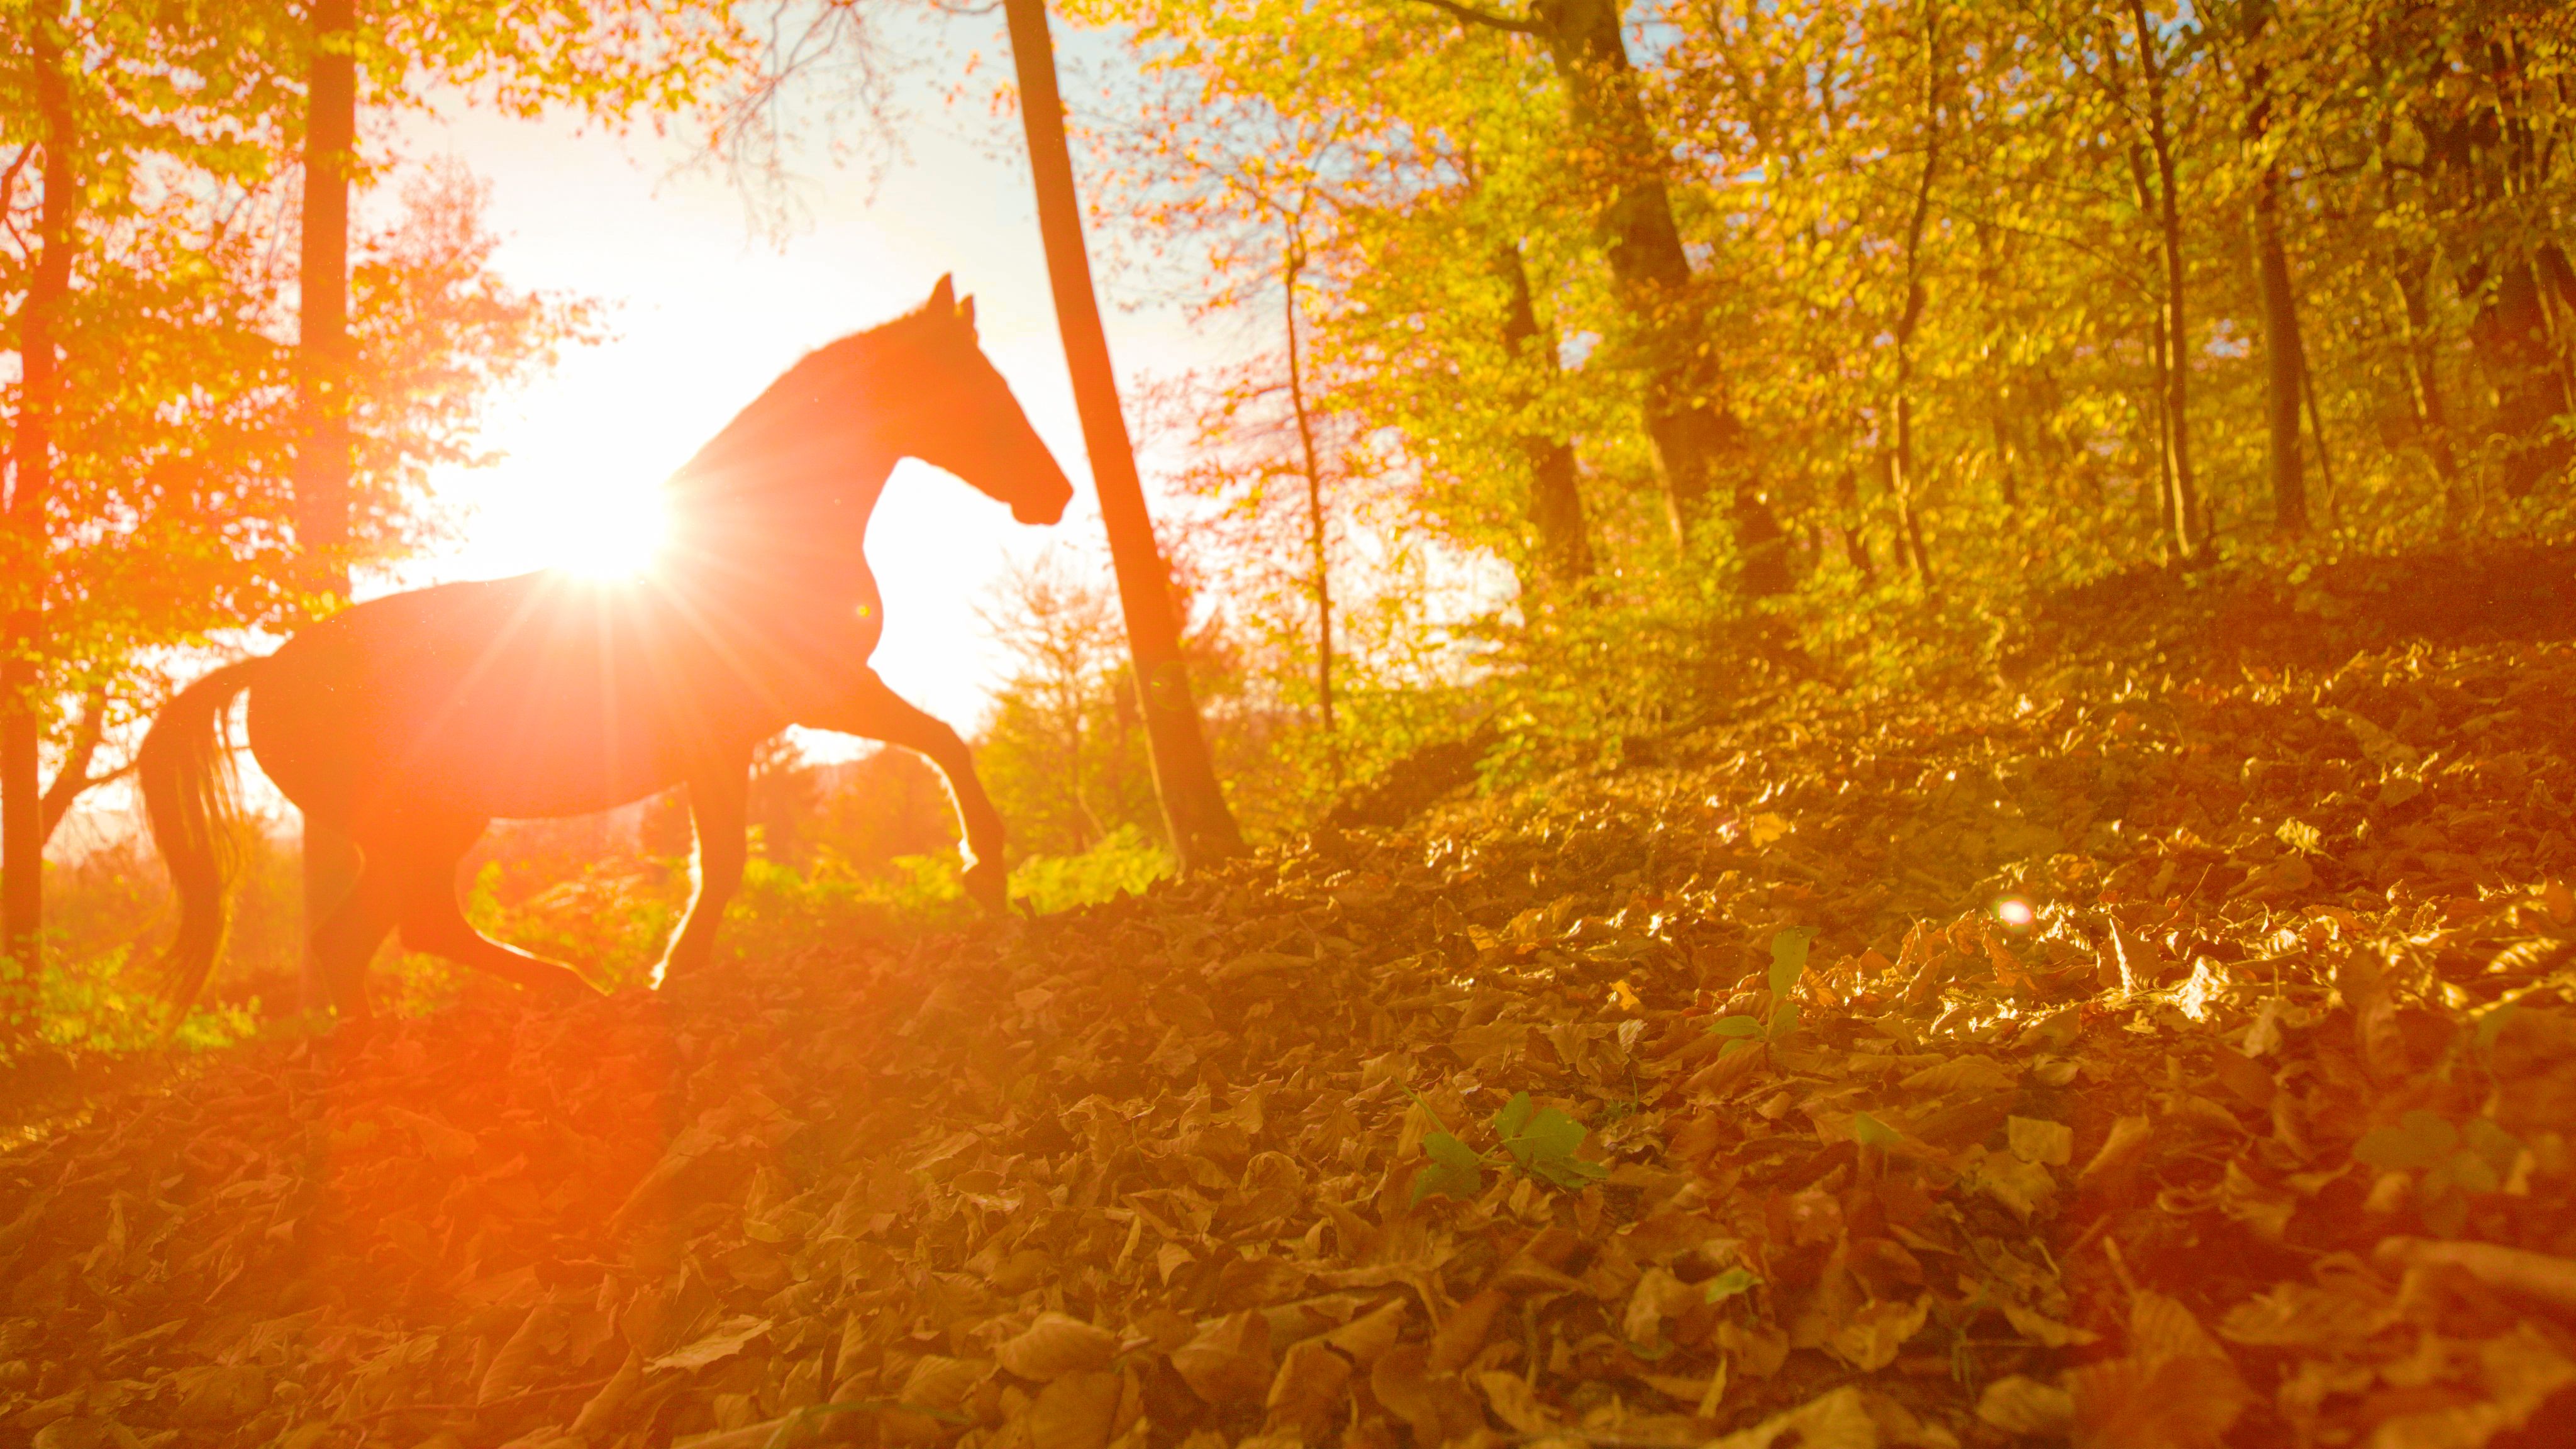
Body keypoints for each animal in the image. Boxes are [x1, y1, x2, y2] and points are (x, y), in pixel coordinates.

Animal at [137, 276, 1073, 1024]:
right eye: (982, 388)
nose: (1055, 493)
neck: (762, 537)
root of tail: (264, 675)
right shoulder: (795, 708)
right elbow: (738, 855)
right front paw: (676, 970)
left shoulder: (794, 711)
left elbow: (926, 749)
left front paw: (987, 877)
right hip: (423, 825)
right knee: (382, 935)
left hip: (422, 832)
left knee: (384, 935)